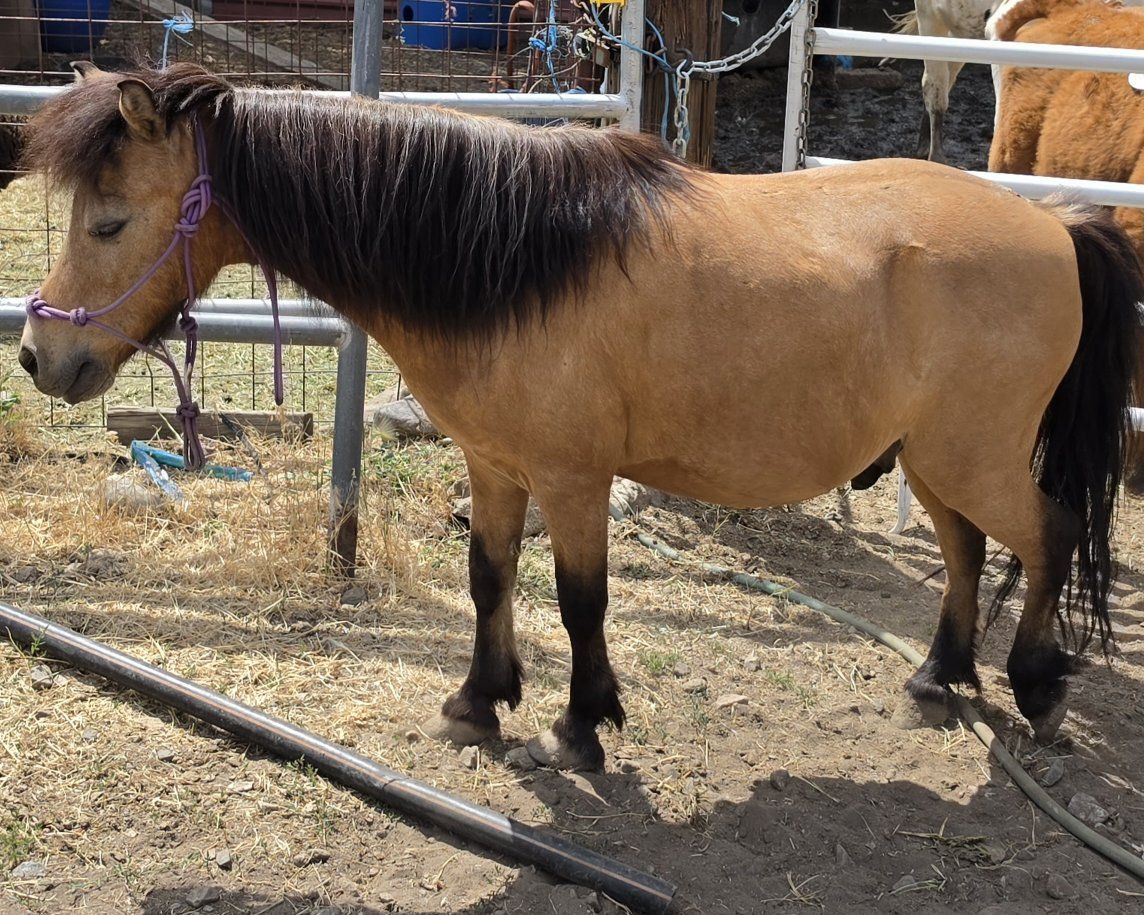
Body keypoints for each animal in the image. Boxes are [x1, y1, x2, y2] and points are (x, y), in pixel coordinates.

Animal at [16, 62, 1141, 770]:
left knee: (1047, 537)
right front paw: (478, 702)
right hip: (931, 459)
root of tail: (1056, 226)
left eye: (109, 221)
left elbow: (580, 603)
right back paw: (938, 679)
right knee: (967, 554)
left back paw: (1037, 688)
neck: (512, 258)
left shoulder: (573, 479)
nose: (39, 356)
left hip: (973, 456)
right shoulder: (495, 467)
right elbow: (488, 582)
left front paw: (582, 724)